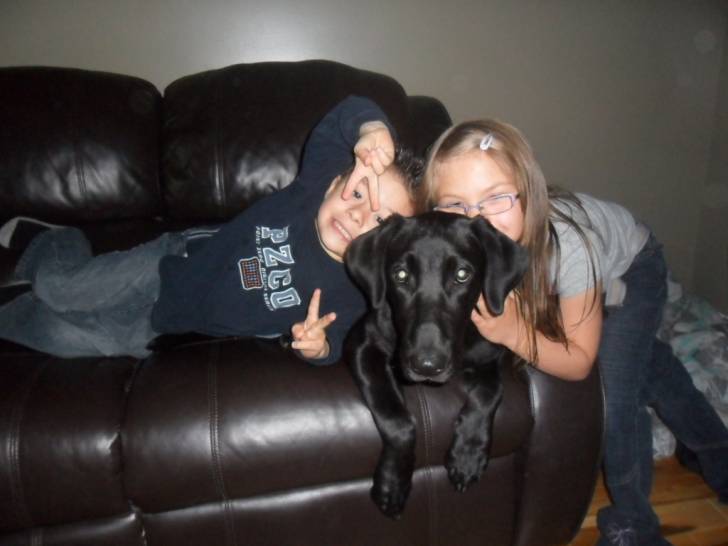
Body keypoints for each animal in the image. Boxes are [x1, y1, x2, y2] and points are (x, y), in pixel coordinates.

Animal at [344, 211, 529, 518]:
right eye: (401, 275)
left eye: (462, 275)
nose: (427, 366)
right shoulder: (362, 344)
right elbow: (397, 419)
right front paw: (392, 485)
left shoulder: (490, 355)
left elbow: (490, 393)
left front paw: (467, 454)